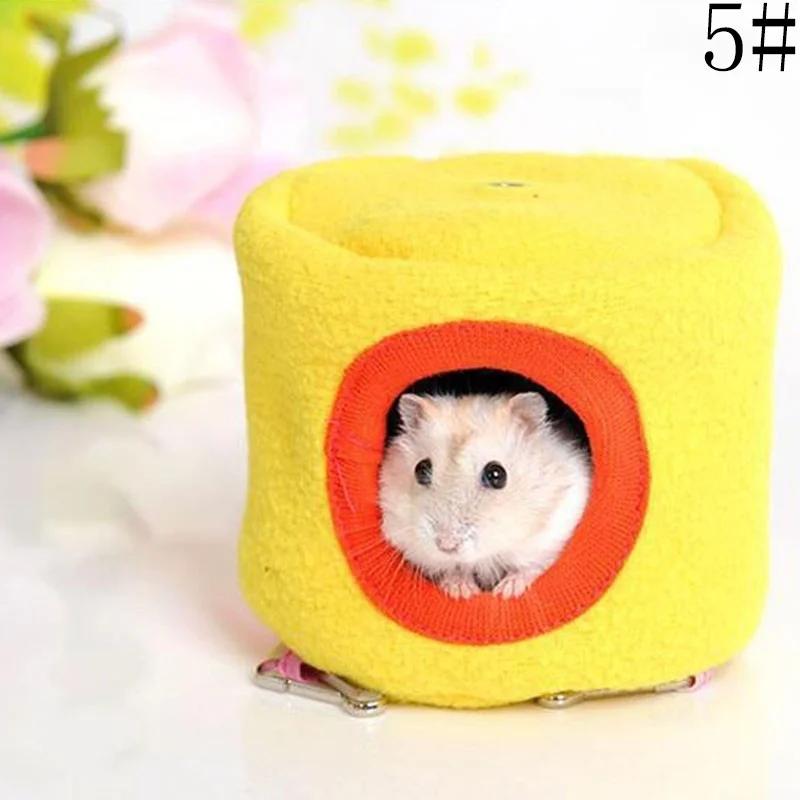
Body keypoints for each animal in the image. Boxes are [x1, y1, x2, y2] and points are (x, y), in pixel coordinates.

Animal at [378, 392, 592, 599]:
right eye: (421, 470)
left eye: (496, 474)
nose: (446, 546)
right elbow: (452, 569)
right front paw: (462, 592)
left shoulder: (552, 533)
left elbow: (530, 566)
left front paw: (506, 592)